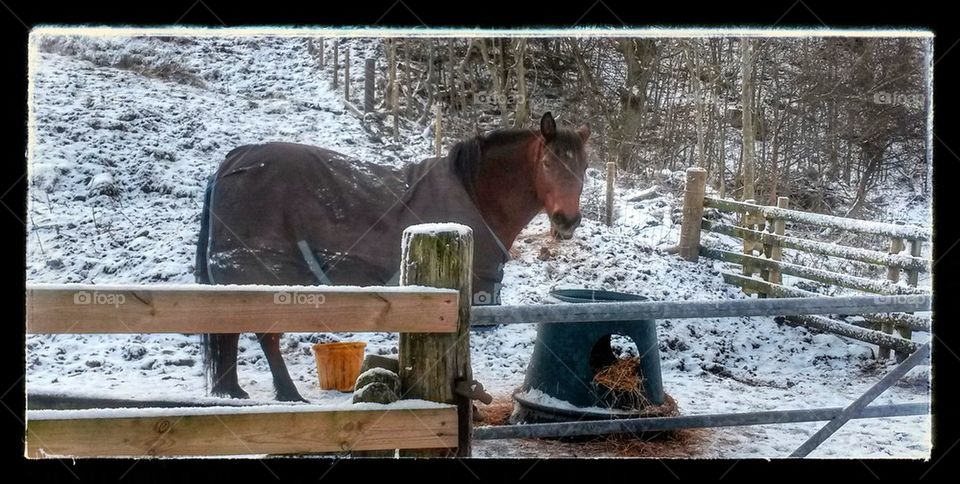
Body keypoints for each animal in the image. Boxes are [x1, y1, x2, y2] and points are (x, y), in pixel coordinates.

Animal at [195, 112, 588, 400]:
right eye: (548, 164)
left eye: (584, 168)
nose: (567, 221)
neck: (477, 194)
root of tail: (233, 161)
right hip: (266, 274)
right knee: (267, 336)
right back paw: (287, 395)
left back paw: (234, 392)